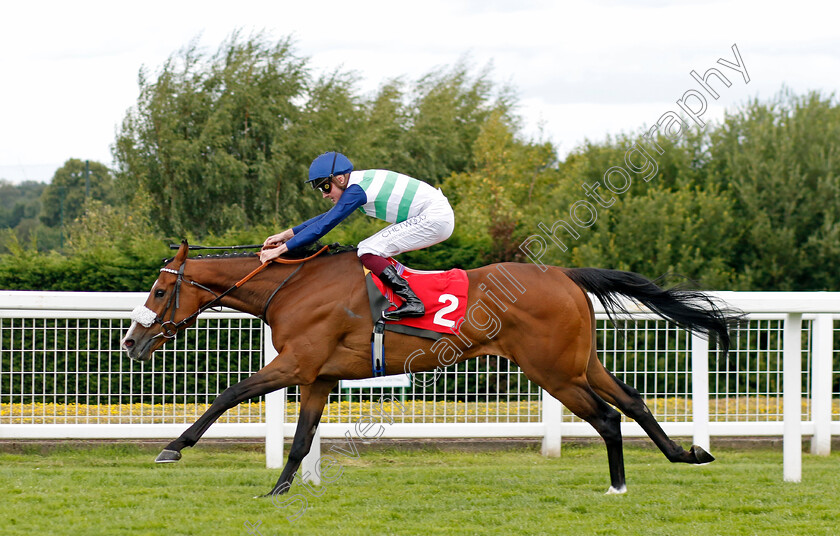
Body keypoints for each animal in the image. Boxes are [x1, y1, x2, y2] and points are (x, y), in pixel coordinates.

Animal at [120, 242, 736, 494]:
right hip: (579, 362)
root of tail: (564, 274)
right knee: (632, 400)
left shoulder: (296, 363)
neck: (293, 286)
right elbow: (300, 441)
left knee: (608, 419)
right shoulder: (319, 376)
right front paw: (278, 491)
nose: (131, 342)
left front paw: (173, 447)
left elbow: (230, 394)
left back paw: (617, 486)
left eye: (159, 290)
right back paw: (687, 453)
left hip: (555, 372)